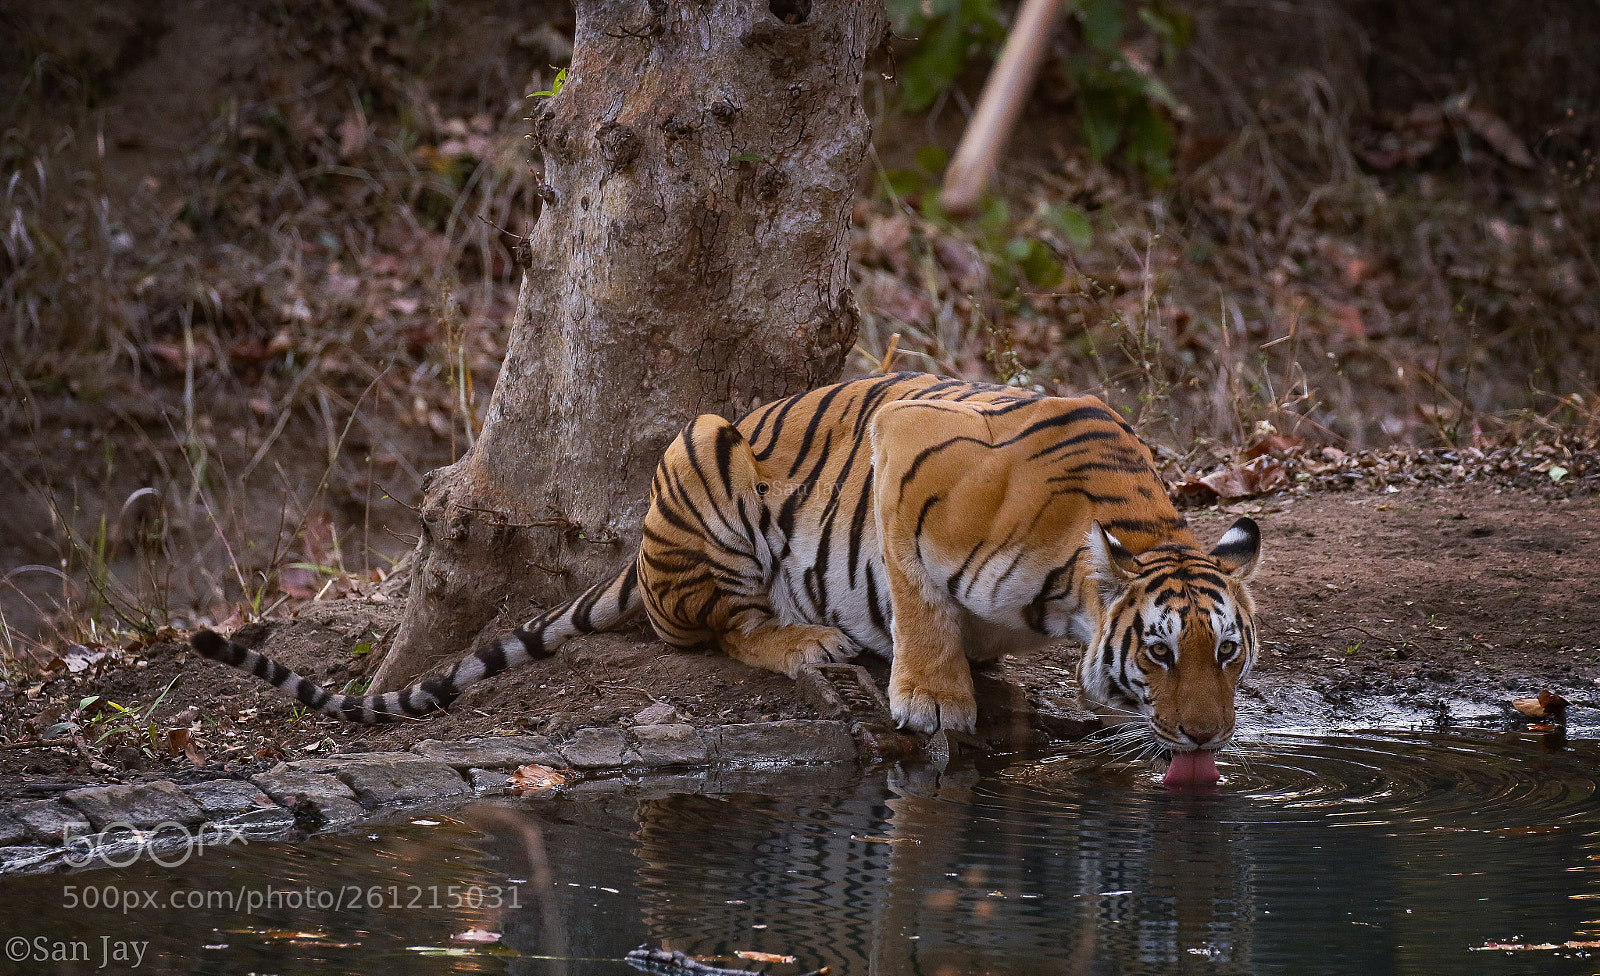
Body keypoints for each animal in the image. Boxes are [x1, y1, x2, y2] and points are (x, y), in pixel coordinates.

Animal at [193, 372, 1261, 780]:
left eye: (1229, 656)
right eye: (1156, 654)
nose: (1205, 738)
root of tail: (639, 559)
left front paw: (983, 690)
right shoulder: (906, 440)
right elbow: (916, 594)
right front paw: (933, 699)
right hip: (704, 455)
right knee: (716, 629)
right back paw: (815, 644)